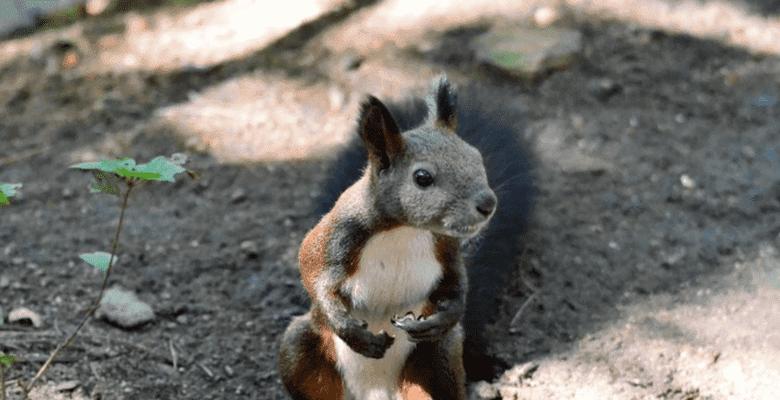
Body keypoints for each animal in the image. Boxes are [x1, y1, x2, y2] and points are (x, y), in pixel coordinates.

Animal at [278, 76, 532, 400]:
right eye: (422, 178)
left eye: (477, 157)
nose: (488, 203)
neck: (403, 228)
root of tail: (374, 393)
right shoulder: (337, 234)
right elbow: (310, 268)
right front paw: (351, 331)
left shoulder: (446, 246)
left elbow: (457, 282)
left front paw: (443, 317)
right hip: (301, 349)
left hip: (438, 358)